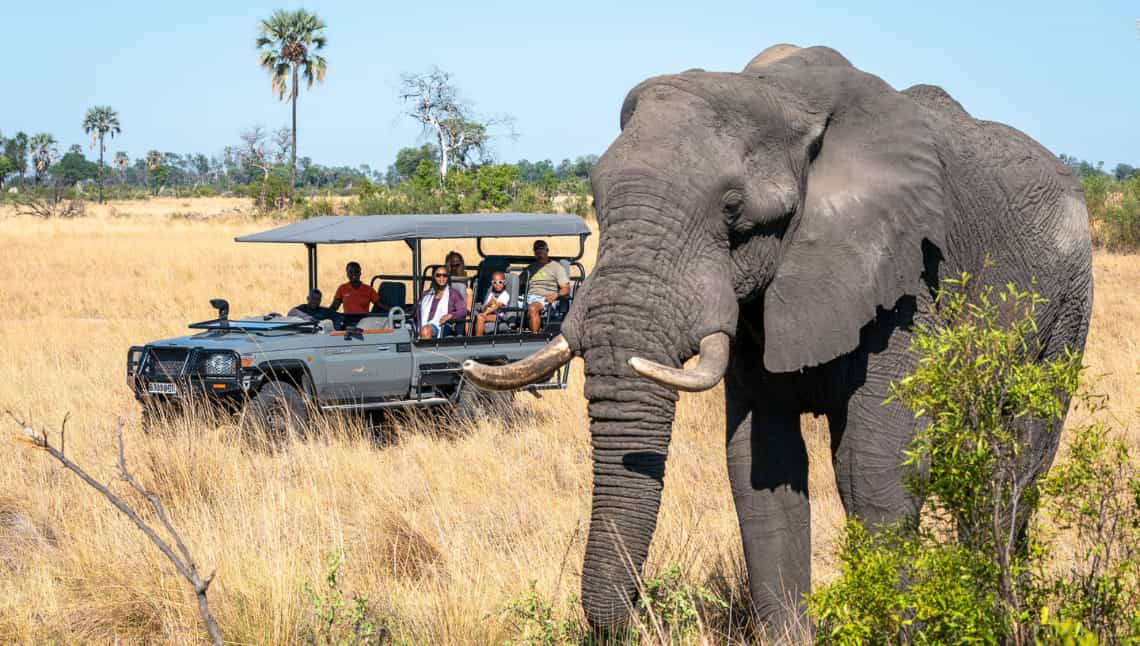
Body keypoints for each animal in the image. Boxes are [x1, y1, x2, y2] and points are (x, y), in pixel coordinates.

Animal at [465, 46, 1094, 638]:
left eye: (733, 210)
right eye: (595, 201)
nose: (637, 616)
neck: (781, 97)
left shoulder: (905, 282)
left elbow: (873, 468)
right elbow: (760, 464)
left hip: (1069, 306)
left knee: (1016, 461)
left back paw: (1001, 613)